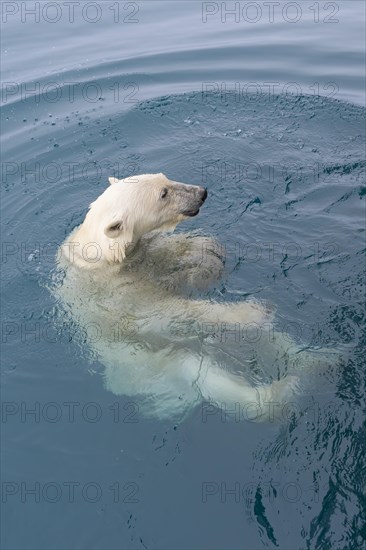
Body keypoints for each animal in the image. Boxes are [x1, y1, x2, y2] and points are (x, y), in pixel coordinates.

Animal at [54, 175, 302, 420]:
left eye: (164, 177)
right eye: (163, 194)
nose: (202, 192)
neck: (103, 256)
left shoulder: (143, 255)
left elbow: (174, 253)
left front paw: (208, 253)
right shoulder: (116, 295)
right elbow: (168, 311)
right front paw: (253, 311)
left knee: (276, 340)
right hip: (161, 366)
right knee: (213, 379)